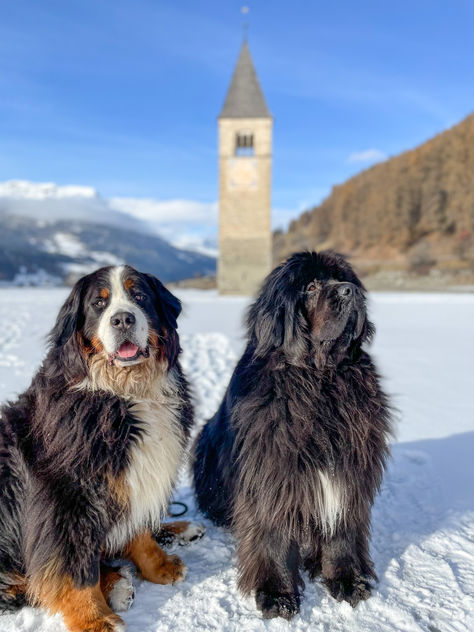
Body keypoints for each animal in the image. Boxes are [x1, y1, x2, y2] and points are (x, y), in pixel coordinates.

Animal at [0, 266, 204, 632]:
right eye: (99, 303)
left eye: (139, 296)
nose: (123, 319)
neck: (126, 393)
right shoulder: (67, 498)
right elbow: (72, 566)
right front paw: (94, 618)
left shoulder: (133, 477)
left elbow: (139, 532)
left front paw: (158, 566)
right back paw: (117, 584)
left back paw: (180, 530)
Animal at [193, 249, 392, 620]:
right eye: (310, 287)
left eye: (344, 278)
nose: (350, 292)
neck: (319, 380)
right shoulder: (272, 473)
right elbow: (273, 534)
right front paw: (277, 593)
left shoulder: (347, 467)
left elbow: (341, 528)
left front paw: (347, 580)